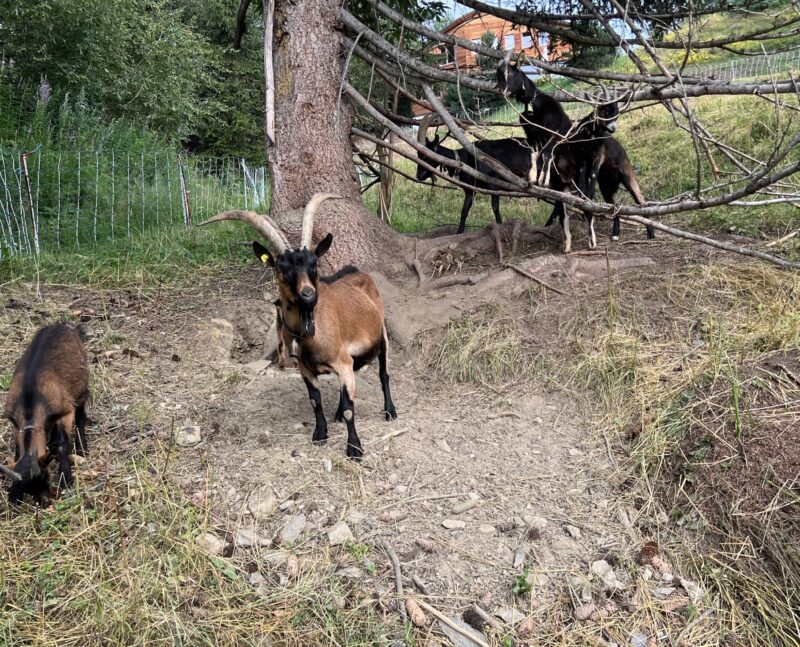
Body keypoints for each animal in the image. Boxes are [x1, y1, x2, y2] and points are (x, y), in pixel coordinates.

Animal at [3, 324, 89, 506]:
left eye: (45, 477)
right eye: (28, 489)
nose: (45, 502)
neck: (31, 405)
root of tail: (62, 325)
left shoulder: (65, 411)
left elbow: (62, 442)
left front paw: (66, 478)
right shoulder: (15, 422)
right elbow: (17, 449)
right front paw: (13, 493)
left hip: (81, 385)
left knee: (81, 414)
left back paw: (82, 448)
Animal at [200, 194, 396, 460]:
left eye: (314, 264)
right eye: (281, 268)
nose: (308, 294)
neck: (310, 332)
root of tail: (359, 272)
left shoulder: (342, 361)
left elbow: (350, 408)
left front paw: (354, 447)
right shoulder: (306, 369)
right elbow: (315, 401)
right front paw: (320, 434)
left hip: (382, 335)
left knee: (383, 374)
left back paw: (390, 411)